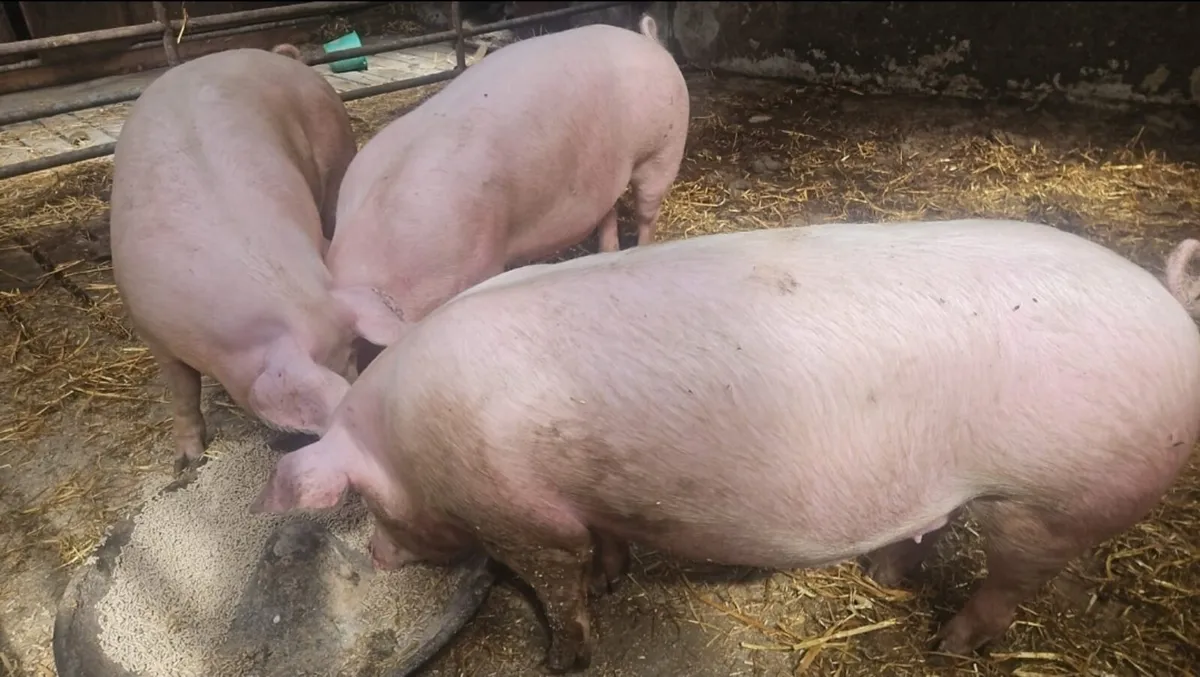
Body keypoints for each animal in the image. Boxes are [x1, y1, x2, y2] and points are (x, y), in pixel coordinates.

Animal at [110, 45, 359, 472]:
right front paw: (185, 463)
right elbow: (182, 390)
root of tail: (281, 56)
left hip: (337, 150)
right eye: (340, 363)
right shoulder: (150, 329)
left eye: (353, 355)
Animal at [252, 219, 1200, 673]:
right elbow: (604, 545)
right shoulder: (589, 496)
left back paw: (947, 648)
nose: (377, 556)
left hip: (1055, 501)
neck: (409, 446)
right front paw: (614, 576)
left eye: (363, 501)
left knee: (1006, 585)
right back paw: (883, 575)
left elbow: (560, 583)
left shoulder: (522, 516)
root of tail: (1168, 304)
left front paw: (567, 657)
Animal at [325, 15, 689, 366]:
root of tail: (649, 42)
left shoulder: (478, 262)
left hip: (664, 150)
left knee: (646, 212)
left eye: (348, 350)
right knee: (608, 210)